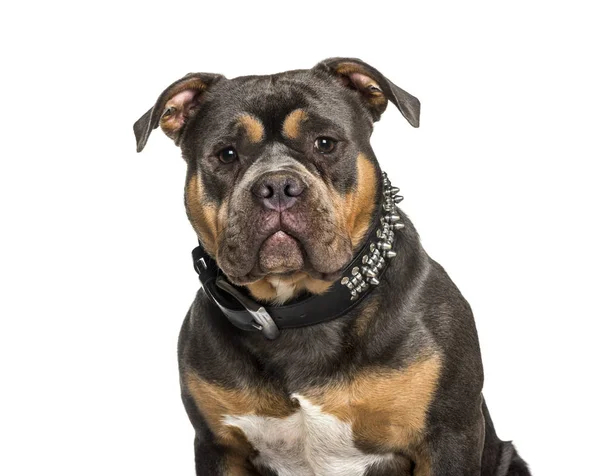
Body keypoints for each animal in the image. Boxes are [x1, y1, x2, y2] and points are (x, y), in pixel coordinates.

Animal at [135, 57, 528, 474]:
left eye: (325, 143)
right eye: (226, 154)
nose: (277, 185)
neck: (300, 310)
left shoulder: (449, 437)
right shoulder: (219, 446)